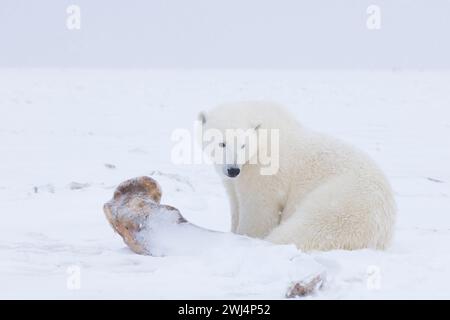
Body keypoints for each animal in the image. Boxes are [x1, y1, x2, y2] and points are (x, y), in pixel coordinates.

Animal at [199, 101, 396, 251]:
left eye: (243, 145)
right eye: (222, 143)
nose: (233, 169)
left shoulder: (264, 173)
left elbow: (258, 210)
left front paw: (245, 236)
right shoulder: (233, 180)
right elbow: (235, 203)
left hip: (344, 201)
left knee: (310, 227)